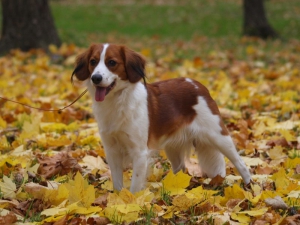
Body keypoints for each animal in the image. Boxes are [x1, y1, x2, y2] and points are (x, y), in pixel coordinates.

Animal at [72, 43, 251, 192]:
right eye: (93, 61)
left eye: (111, 62)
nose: (96, 78)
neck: (117, 101)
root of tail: (197, 84)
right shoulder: (112, 150)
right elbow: (117, 184)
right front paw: (117, 201)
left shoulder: (139, 152)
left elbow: (135, 186)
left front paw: (133, 202)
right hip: (173, 148)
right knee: (181, 170)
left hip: (218, 135)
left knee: (241, 164)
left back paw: (250, 188)